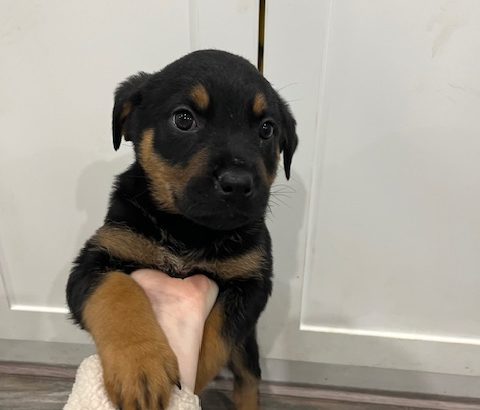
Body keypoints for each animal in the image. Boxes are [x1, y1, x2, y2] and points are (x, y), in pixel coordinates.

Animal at [65, 48, 298, 410]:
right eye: (184, 119)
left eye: (267, 129)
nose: (237, 183)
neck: (189, 230)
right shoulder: (98, 258)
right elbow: (117, 290)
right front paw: (140, 366)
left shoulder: (251, 283)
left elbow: (217, 335)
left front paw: (192, 382)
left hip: (248, 345)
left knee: (248, 377)